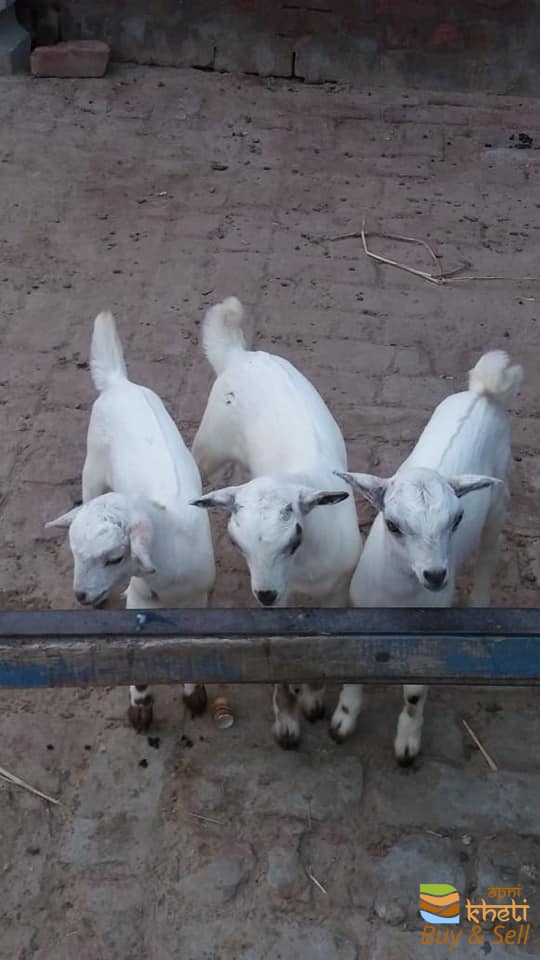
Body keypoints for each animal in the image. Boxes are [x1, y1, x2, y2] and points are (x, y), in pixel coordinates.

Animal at [46, 311, 216, 730]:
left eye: (113, 557)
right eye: (73, 553)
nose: (81, 595)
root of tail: (118, 383)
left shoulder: (199, 600)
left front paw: (194, 695)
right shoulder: (139, 599)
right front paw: (140, 706)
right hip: (92, 466)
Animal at [191, 297, 362, 748]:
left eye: (294, 538)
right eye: (238, 545)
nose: (264, 593)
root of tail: (240, 354)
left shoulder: (337, 591)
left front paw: (314, 700)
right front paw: (287, 720)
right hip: (210, 442)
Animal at [334, 350, 523, 763]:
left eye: (457, 520)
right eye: (392, 525)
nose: (436, 575)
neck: (399, 597)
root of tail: (482, 394)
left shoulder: (431, 631)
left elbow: (414, 693)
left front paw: (407, 743)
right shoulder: (361, 609)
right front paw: (343, 718)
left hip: (499, 497)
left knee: (490, 550)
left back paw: (481, 603)